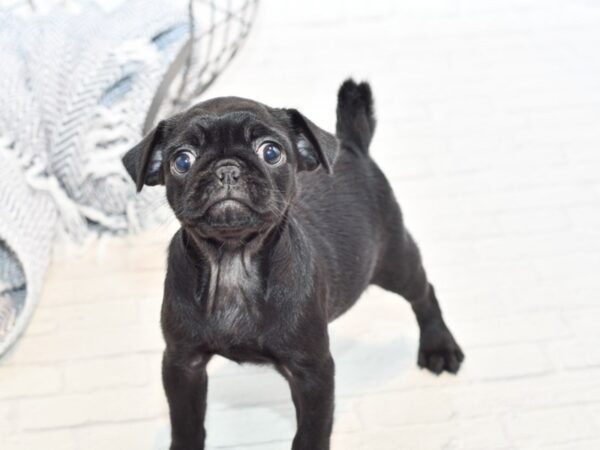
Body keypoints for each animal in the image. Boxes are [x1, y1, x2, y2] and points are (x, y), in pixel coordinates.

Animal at [122, 80, 464, 450]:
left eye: (271, 153)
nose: (227, 168)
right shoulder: (183, 363)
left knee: (423, 291)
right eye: (182, 160)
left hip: (394, 261)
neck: (233, 262)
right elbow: (186, 423)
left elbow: (311, 431)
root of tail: (353, 147)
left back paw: (439, 347)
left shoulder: (312, 372)